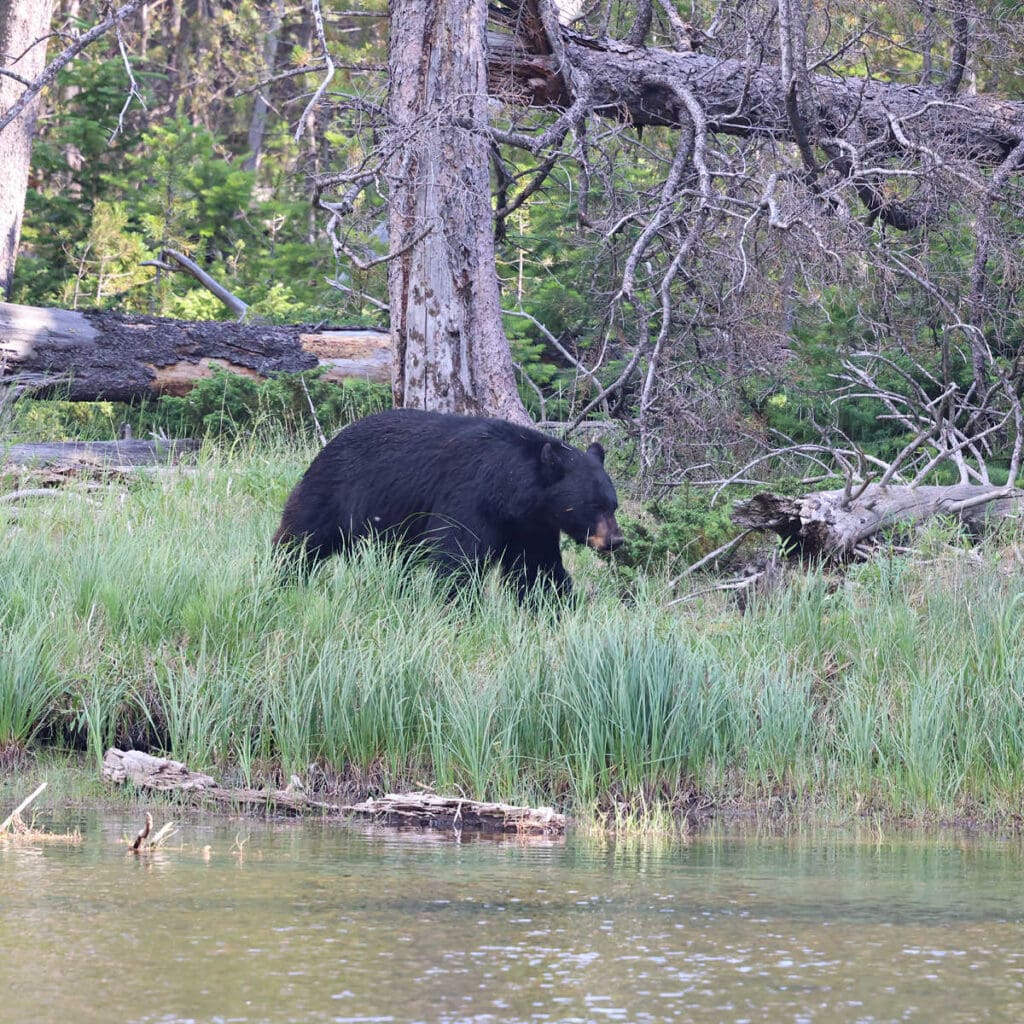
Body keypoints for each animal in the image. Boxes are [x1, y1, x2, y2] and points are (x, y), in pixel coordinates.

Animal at [272, 409, 624, 599]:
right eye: (593, 506)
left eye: (613, 505)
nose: (615, 540)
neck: (507, 489)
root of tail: (330, 442)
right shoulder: (468, 498)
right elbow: (458, 559)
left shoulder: (529, 524)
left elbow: (538, 567)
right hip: (331, 492)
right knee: (301, 538)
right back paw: (280, 576)